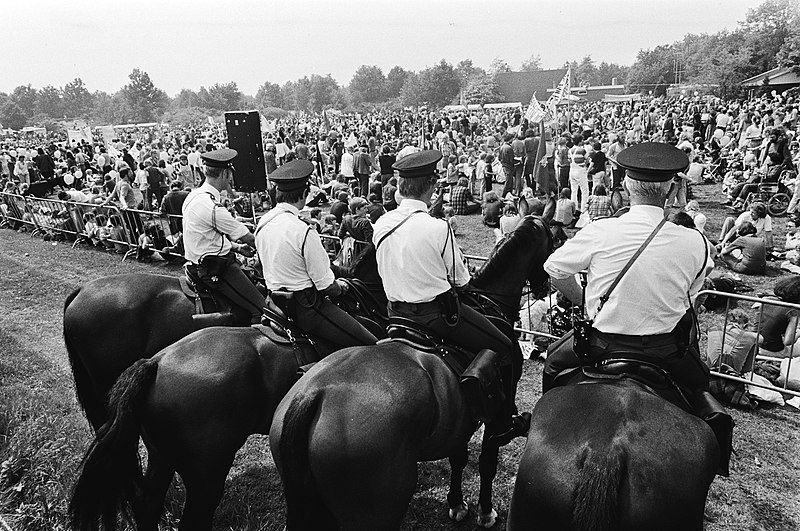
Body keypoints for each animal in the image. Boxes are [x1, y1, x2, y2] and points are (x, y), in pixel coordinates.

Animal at [268, 216, 552, 531]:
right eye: (553, 242)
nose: (544, 286)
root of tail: (312, 395)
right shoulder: (494, 418)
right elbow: (486, 462)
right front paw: (485, 512)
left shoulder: (460, 421)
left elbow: (458, 458)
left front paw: (456, 504)